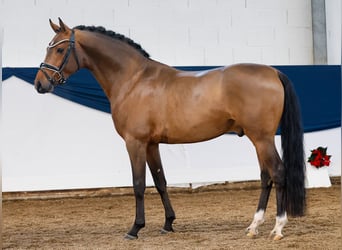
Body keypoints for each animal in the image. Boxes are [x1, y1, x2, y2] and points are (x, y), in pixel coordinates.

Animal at [34, 18, 306, 241]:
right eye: (48, 47)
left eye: (59, 49)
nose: (40, 83)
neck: (134, 80)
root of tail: (273, 71)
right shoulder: (152, 144)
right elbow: (160, 181)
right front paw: (168, 224)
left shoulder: (135, 142)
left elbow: (139, 184)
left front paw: (135, 229)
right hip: (258, 139)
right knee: (265, 177)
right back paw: (254, 226)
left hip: (262, 138)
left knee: (278, 173)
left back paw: (277, 228)